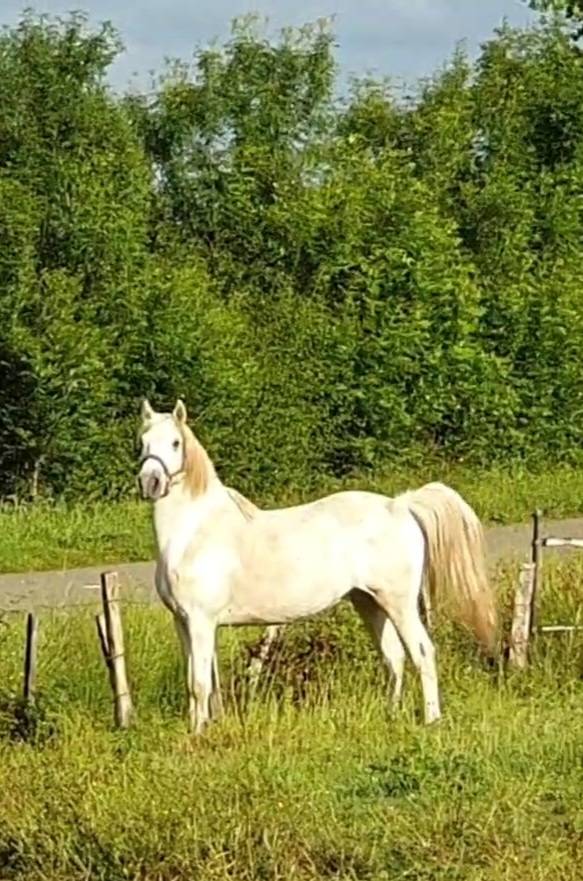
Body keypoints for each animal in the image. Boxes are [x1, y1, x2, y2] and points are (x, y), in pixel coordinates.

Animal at [137, 398, 497, 734]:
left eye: (175, 443)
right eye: (142, 442)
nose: (150, 482)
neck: (195, 532)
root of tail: (400, 505)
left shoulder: (201, 621)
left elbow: (200, 685)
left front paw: (198, 736)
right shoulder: (183, 622)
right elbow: (195, 683)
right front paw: (197, 728)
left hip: (400, 604)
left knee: (422, 652)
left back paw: (431, 720)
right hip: (368, 602)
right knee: (393, 657)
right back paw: (391, 715)